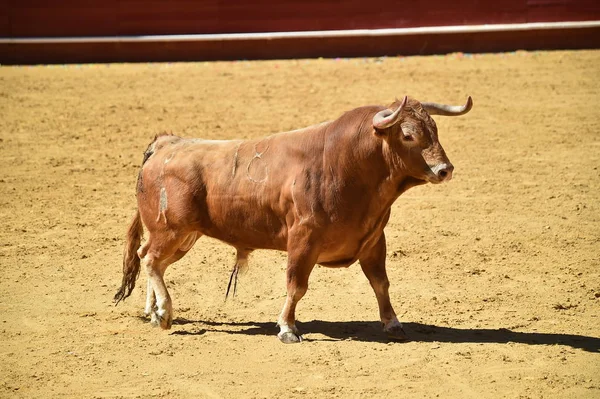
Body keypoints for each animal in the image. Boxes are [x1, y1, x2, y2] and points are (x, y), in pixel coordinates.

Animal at [115, 94, 472, 344]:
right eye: (408, 135)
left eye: (434, 129)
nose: (445, 169)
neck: (346, 163)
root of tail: (167, 144)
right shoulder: (303, 241)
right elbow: (296, 285)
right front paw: (287, 328)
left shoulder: (373, 240)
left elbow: (380, 283)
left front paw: (393, 323)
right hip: (172, 230)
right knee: (150, 260)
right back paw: (165, 313)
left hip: (184, 236)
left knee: (152, 260)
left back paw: (153, 311)